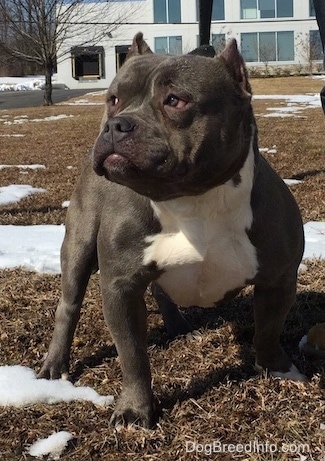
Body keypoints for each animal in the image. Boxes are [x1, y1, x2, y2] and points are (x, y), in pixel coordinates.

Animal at [39, 32, 306, 428]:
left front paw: (278, 369)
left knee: (161, 291)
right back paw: (55, 364)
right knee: (69, 306)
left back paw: (179, 326)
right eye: (113, 99)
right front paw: (135, 409)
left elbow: (269, 330)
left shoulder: (279, 279)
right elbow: (133, 356)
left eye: (176, 100)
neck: (191, 200)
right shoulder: (120, 287)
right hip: (78, 247)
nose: (116, 124)